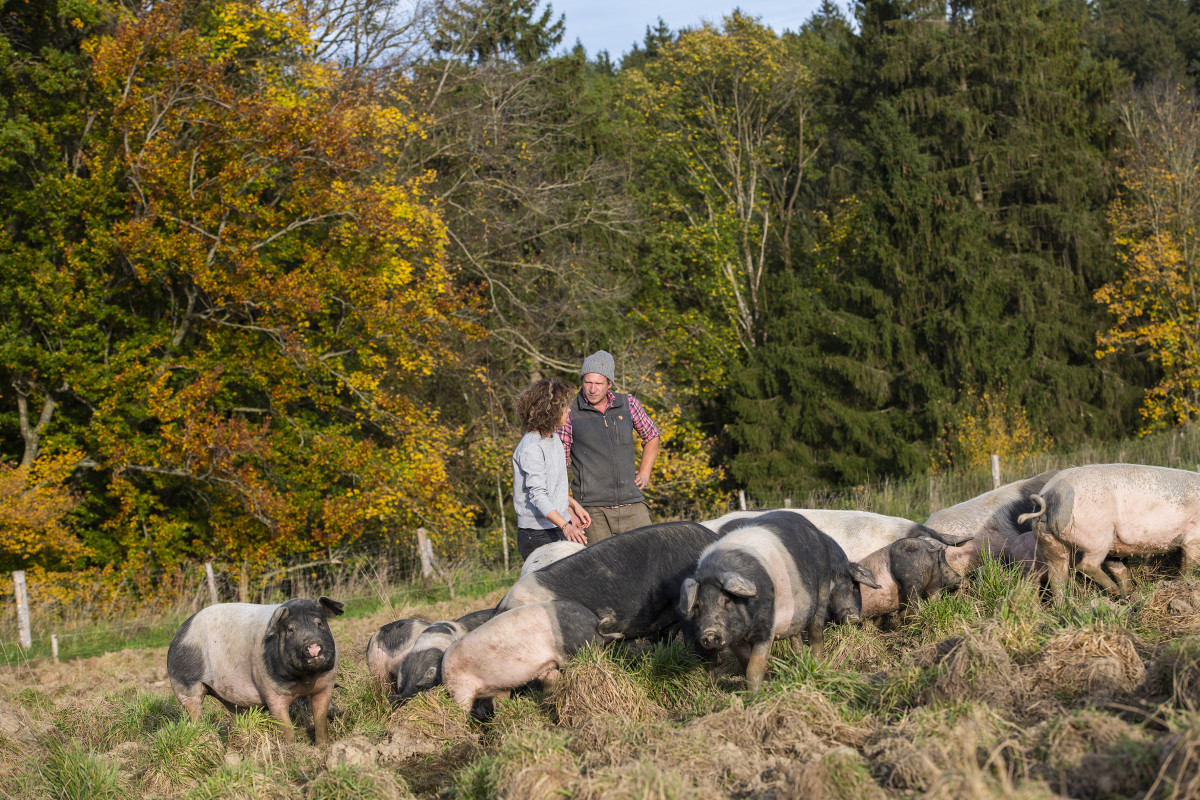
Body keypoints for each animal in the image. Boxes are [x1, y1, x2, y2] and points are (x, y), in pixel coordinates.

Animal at [681, 513, 878, 695]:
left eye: (727, 600)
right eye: (697, 606)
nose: (709, 634)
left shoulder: (766, 626)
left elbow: (754, 668)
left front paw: (756, 697)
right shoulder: (734, 637)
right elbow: (746, 664)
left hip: (820, 595)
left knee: (816, 634)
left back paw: (817, 666)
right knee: (796, 637)